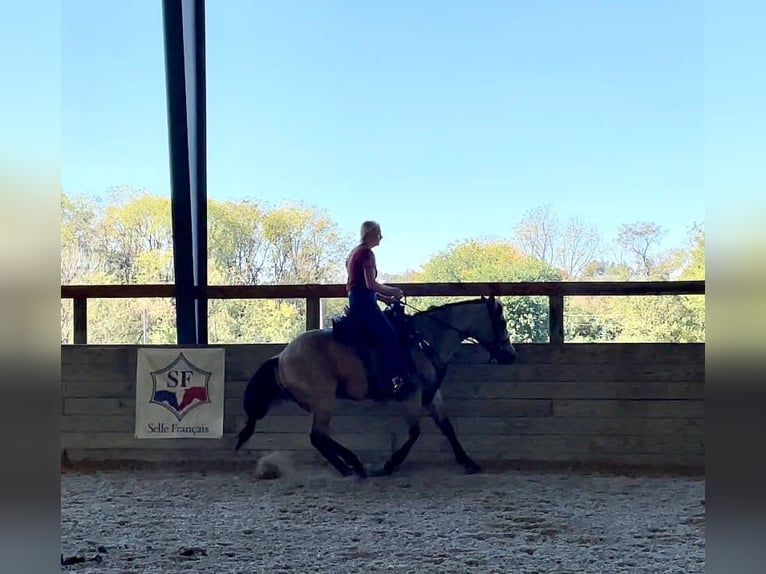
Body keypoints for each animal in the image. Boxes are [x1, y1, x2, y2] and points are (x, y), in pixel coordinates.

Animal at [237, 294, 520, 480]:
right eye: (502, 322)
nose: (511, 355)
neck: (425, 339)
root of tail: (281, 357)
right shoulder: (412, 394)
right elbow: (415, 432)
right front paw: (390, 465)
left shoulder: (431, 394)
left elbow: (447, 427)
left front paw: (468, 462)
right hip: (324, 401)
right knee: (318, 436)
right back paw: (354, 466)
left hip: (321, 404)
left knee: (320, 438)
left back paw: (349, 467)